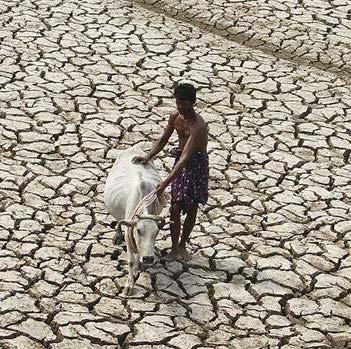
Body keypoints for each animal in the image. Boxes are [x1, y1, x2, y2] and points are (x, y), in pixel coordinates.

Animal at [104, 144, 168, 294]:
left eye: (156, 232)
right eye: (138, 231)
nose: (149, 258)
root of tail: (132, 148)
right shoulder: (129, 231)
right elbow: (131, 261)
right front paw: (129, 285)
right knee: (119, 222)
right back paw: (117, 236)